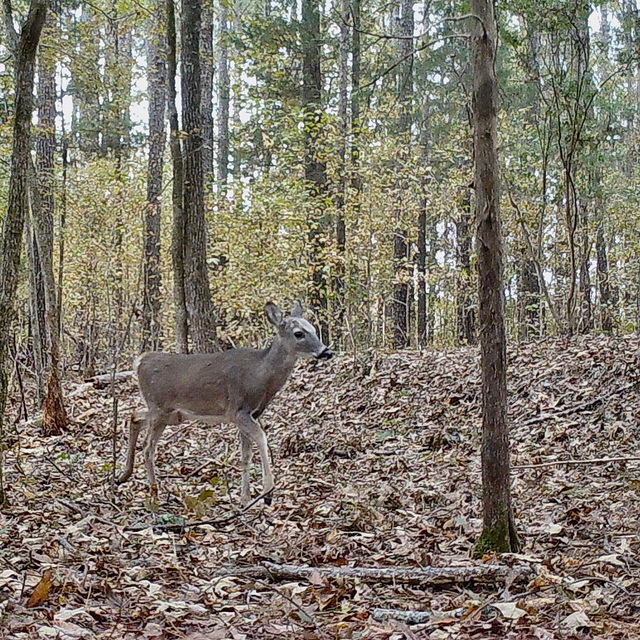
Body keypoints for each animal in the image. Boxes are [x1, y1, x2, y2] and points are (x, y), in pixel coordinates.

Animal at [117, 302, 332, 508]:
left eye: (313, 329)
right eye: (299, 333)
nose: (326, 351)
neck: (260, 375)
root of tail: (140, 361)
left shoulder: (252, 414)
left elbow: (246, 454)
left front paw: (245, 500)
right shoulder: (237, 410)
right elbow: (261, 438)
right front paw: (267, 493)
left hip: (171, 414)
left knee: (134, 417)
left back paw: (124, 476)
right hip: (160, 407)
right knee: (148, 448)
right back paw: (154, 495)